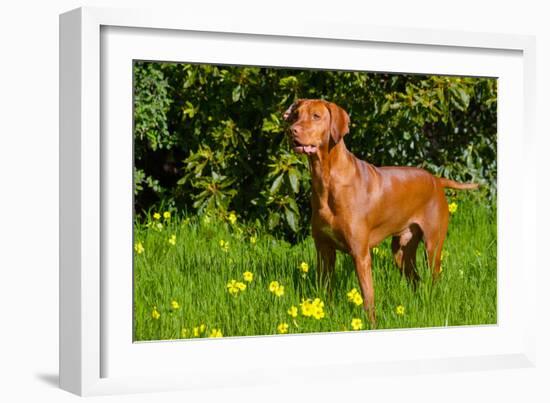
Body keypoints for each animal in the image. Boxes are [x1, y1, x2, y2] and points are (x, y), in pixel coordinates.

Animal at [284, 99, 478, 326]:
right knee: (416, 279)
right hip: (402, 251)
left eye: (316, 116)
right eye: (295, 115)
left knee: (434, 277)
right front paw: (325, 316)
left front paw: (372, 324)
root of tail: (437, 180)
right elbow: (325, 290)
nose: (292, 130)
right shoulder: (324, 250)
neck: (327, 180)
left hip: (433, 246)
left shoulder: (360, 254)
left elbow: (368, 296)